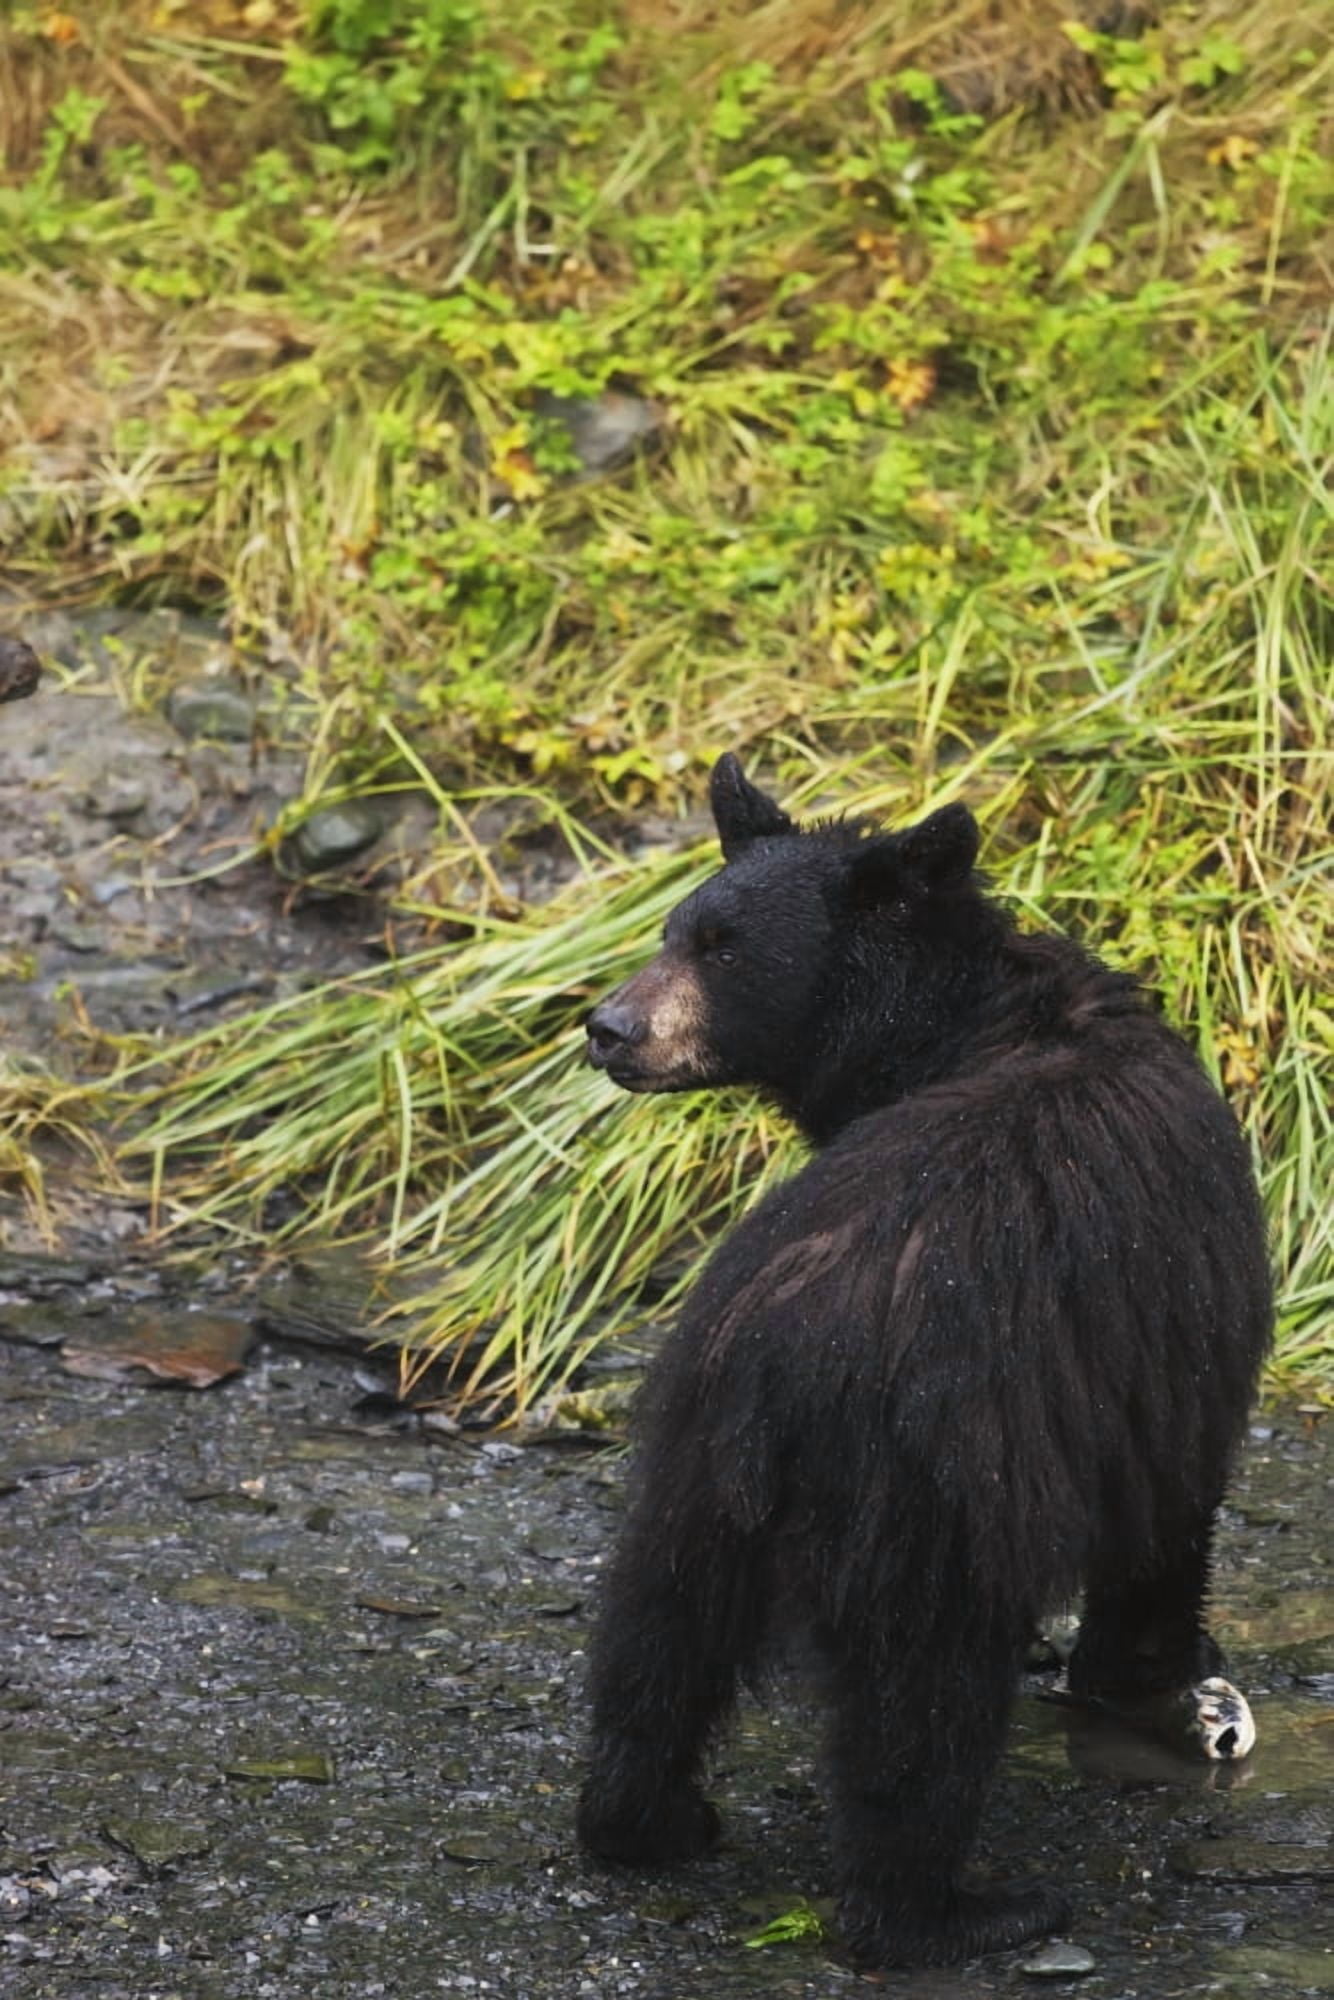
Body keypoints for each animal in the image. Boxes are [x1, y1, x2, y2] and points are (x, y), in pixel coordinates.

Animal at [576, 754, 1272, 1969]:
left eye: (716, 945)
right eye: (681, 932)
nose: (608, 1027)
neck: (956, 1027)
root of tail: (779, 1353)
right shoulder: (1164, 1331)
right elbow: (1170, 1499)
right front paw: (1155, 1668)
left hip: (691, 1467)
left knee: (655, 1635)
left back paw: (647, 1820)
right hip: (930, 1491)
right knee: (921, 1706)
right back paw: (956, 1910)